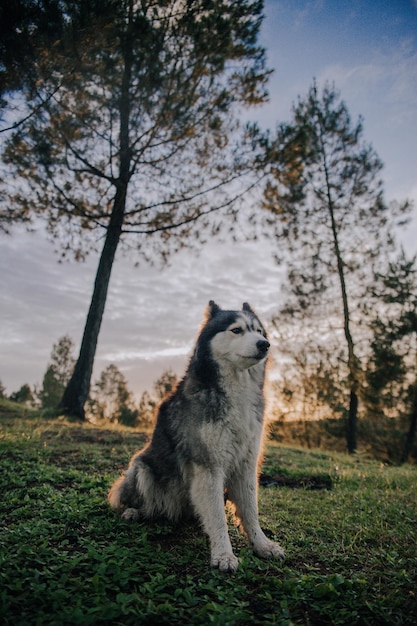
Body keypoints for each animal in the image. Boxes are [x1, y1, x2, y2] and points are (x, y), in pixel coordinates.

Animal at [107, 300, 284, 568]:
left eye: (259, 331)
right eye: (237, 330)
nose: (265, 344)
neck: (237, 390)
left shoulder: (246, 463)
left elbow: (250, 510)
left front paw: (262, 545)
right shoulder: (208, 466)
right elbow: (219, 518)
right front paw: (223, 554)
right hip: (141, 468)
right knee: (148, 504)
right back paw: (135, 511)